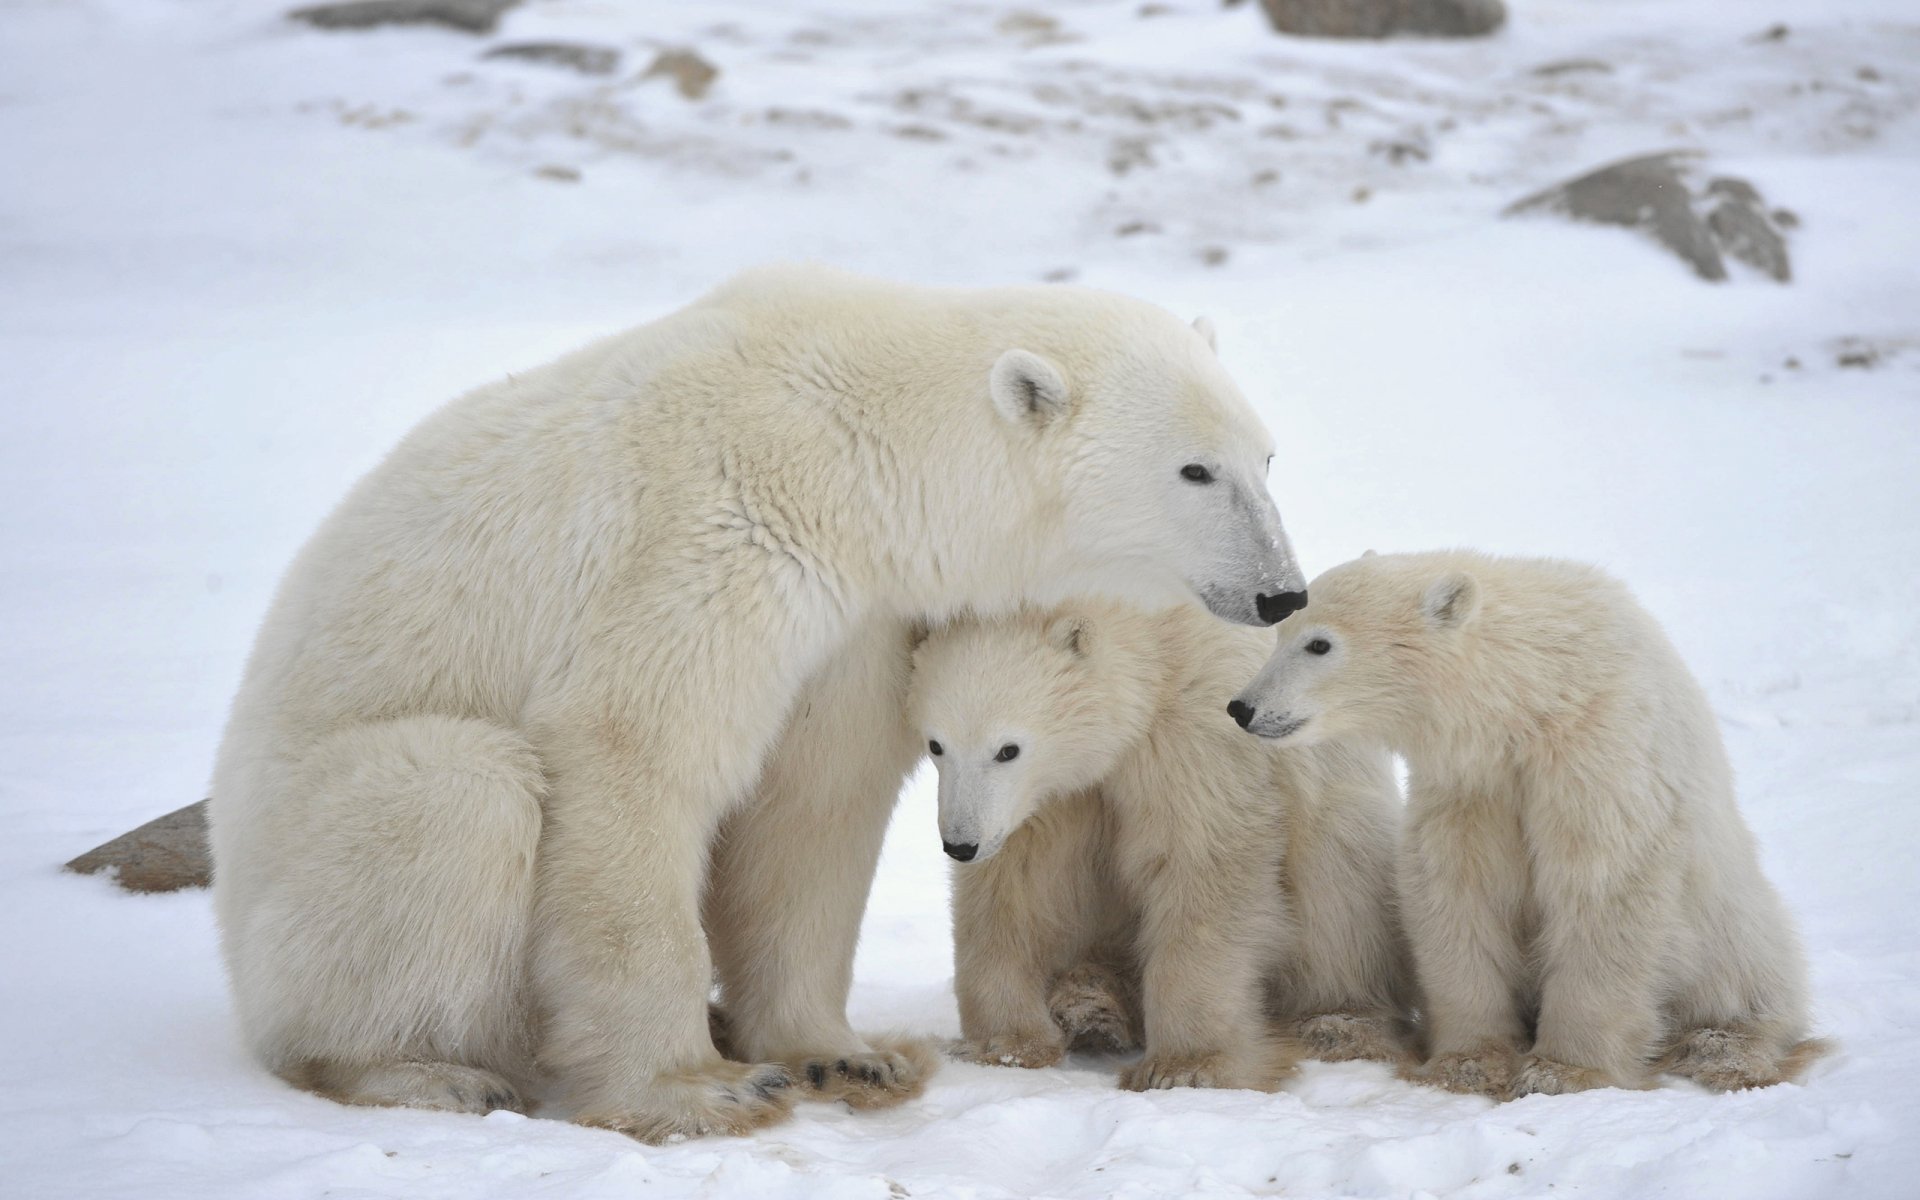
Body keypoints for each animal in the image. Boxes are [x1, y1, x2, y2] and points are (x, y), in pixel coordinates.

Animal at [208, 264, 1310, 1143]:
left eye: (1267, 456)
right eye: (1195, 468)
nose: (1282, 593)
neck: (851, 443)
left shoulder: (857, 619)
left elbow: (812, 806)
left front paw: (844, 1055)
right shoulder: (709, 538)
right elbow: (635, 756)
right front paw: (699, 1090)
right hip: (299, 868)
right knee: (456, 794)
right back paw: (421, 1069)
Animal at [906, 600, 1412, 1092]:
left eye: (1008, 749)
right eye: (936, 745)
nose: (960, 844)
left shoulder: (1196, 735)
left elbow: (1202, 865)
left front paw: (1186, 1067)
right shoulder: (1046, 800)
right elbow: (1015, 886)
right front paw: (1005, 1043)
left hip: (1340, 821)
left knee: (1337, 895)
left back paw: (1337, 1025)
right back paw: (1090, 1004)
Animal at [1228, 550, 1825, 1098]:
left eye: (1319, 644)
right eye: (1281, 635)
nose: (1242, 708)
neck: (1536, 695)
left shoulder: (1598, 750)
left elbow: (1604, 883)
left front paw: (1563, 1071)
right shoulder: (1472, 784)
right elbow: (1455, 888)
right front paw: (1467, 1062)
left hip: (1728, 914)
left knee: (1749, 973)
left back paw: (1724, 1049)